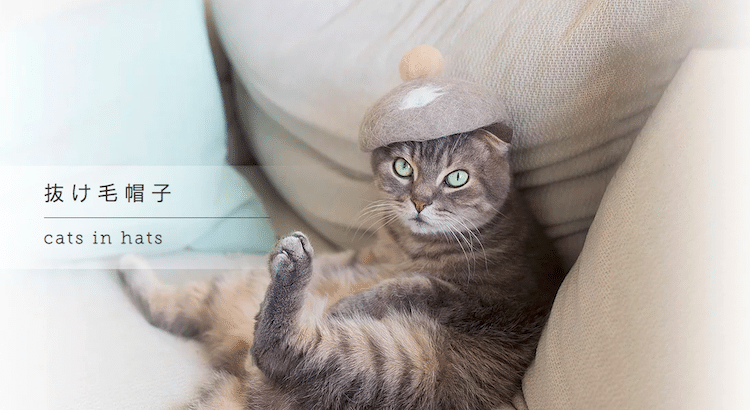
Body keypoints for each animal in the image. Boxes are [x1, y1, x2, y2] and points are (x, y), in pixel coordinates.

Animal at [119, 129, 564, 410]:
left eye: (457, 178)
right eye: (403, 168)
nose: (419, 202)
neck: (409, 244)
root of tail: (239, 372)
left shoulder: (491, 298)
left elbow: (411, 286)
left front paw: (351, 304)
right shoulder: (366, 255)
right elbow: (349, 263)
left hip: (381, 367)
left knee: (277, 349)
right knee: (167, 310)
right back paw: (130, 262)